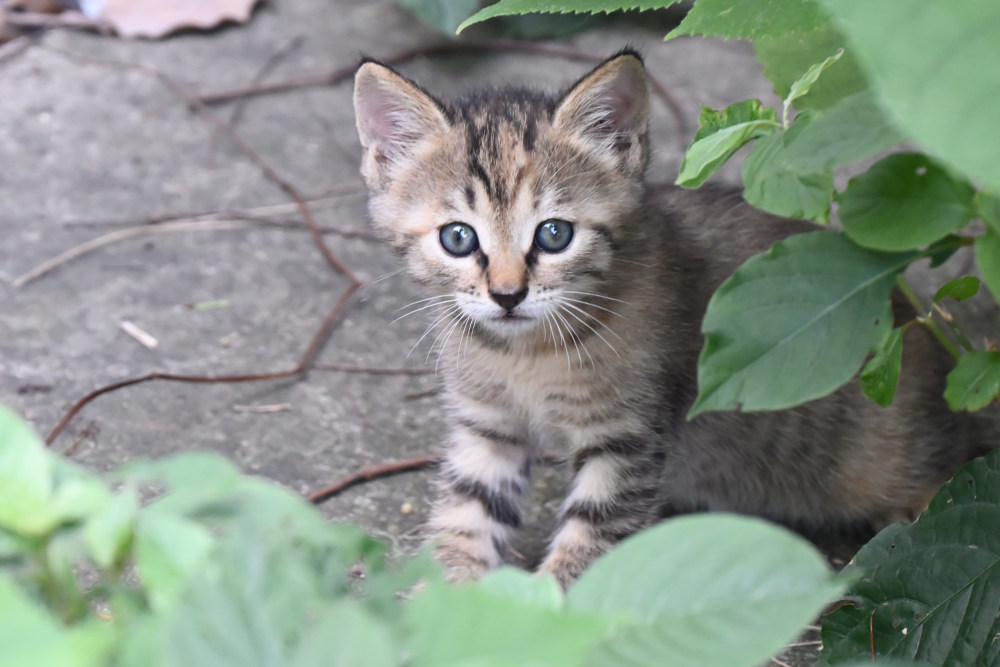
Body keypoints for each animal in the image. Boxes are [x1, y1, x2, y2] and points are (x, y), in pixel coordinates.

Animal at [352, 49, 991, 588]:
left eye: (554, 234)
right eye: (459, 238)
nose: (508, 295)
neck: (523, 354)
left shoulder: (627, 441)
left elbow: (587, 547)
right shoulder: (487, 428)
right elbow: (466, 516)